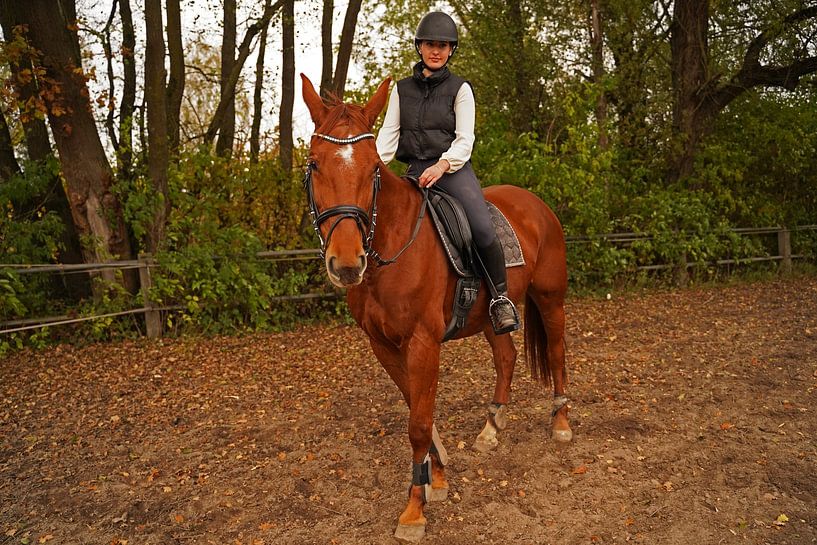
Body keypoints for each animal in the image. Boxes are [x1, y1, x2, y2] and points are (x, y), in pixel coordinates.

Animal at [300, 74, 571, 542]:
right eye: (315, 164)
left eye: (374, 168)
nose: (348, 263)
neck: (391, 249)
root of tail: (535, 203)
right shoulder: (383, 345)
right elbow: (417, 408)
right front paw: (437, 477)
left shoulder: (423, 343)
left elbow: (419, 422)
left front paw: (414, 509)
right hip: (490, 315)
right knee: (506, 356)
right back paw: (491, 429)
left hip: (550, 298)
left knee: (555, 353)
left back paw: (561, 423)